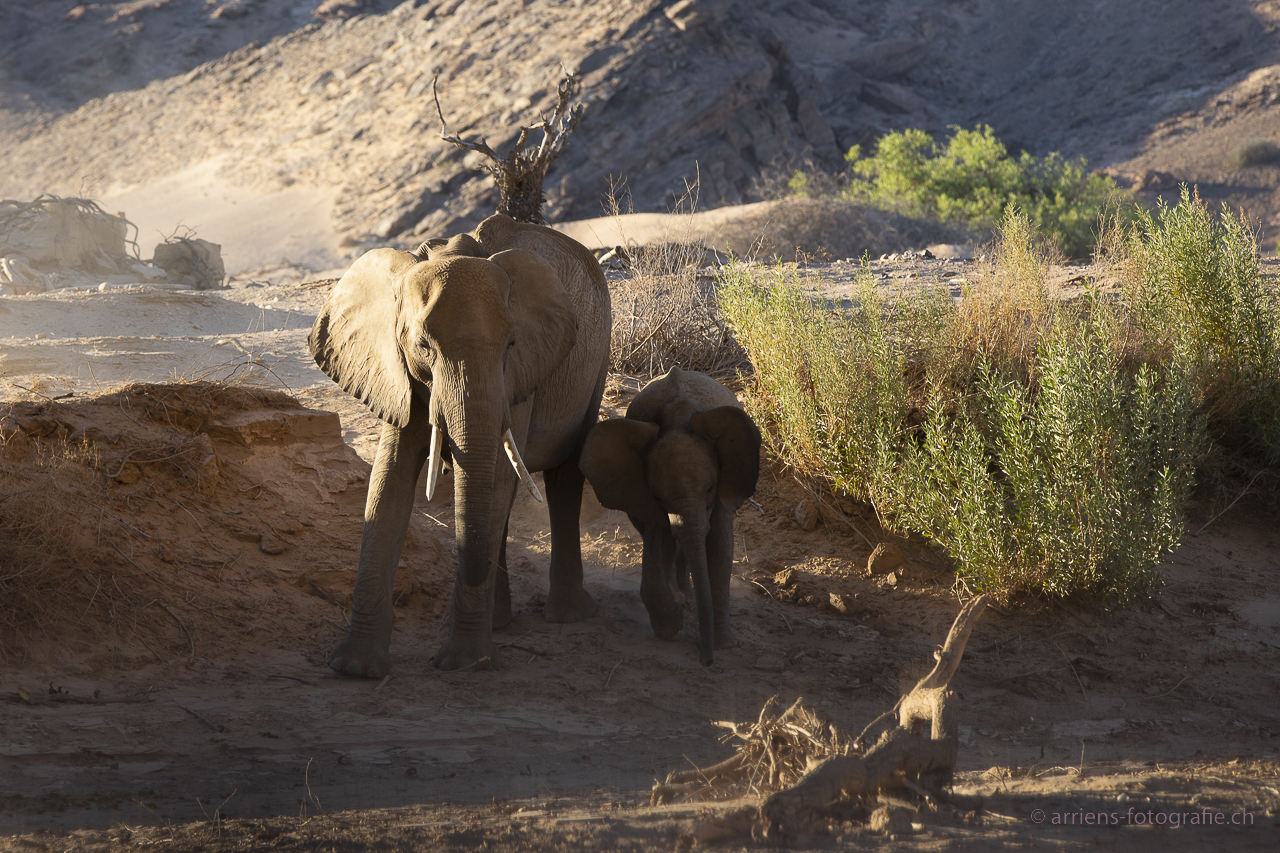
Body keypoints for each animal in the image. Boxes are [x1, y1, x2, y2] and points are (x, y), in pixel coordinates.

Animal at [309, 211, 609, 671]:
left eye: (511, 344)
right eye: (422, 345)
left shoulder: (517, 376)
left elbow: (498, 476)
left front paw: (466, 663)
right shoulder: (395, 369)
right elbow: (388, 479)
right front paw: (354, 668)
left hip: (597, 363)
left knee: (561, 480)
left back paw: (566, 616)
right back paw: (501, 621)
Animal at [581, 366, 757, 666]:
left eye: (710, 489)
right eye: (659, 497)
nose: (706, 661)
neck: (679, 415)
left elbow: (720, 548)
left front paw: (725, 644)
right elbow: (659, 539)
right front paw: (671, 625)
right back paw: (681, 596)